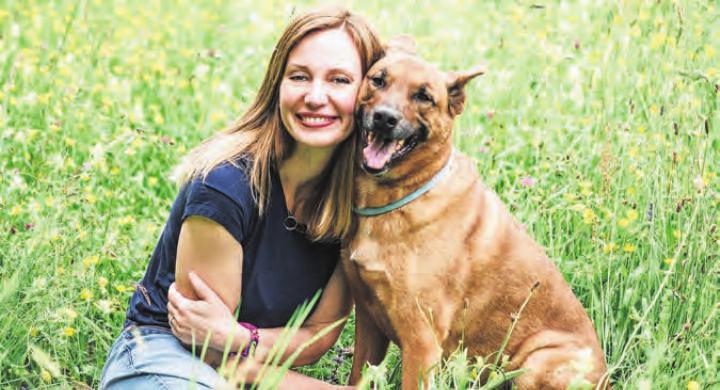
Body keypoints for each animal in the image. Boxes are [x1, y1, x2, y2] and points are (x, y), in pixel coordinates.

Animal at [344, 38, 608, 390]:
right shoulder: (369, 321)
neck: (401, 195)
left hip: (536, 363)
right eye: (378, 80)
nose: (385, 118)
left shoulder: (421, 341)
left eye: (424, 96)